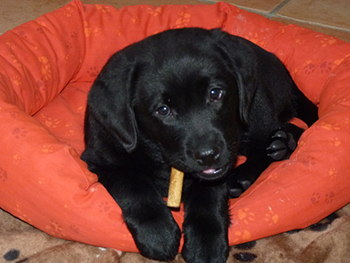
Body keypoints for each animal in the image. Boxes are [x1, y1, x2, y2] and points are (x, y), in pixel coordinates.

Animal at [81, 27, 318, 262]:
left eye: (215, 93)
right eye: (163, 110)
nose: (208, 155)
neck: (159, 155)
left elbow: (208, 198)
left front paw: (206, 243)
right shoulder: (99, 159)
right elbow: (132, 184)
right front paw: (157, 233)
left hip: (255, 106)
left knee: (281, 132)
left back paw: (265, 157)